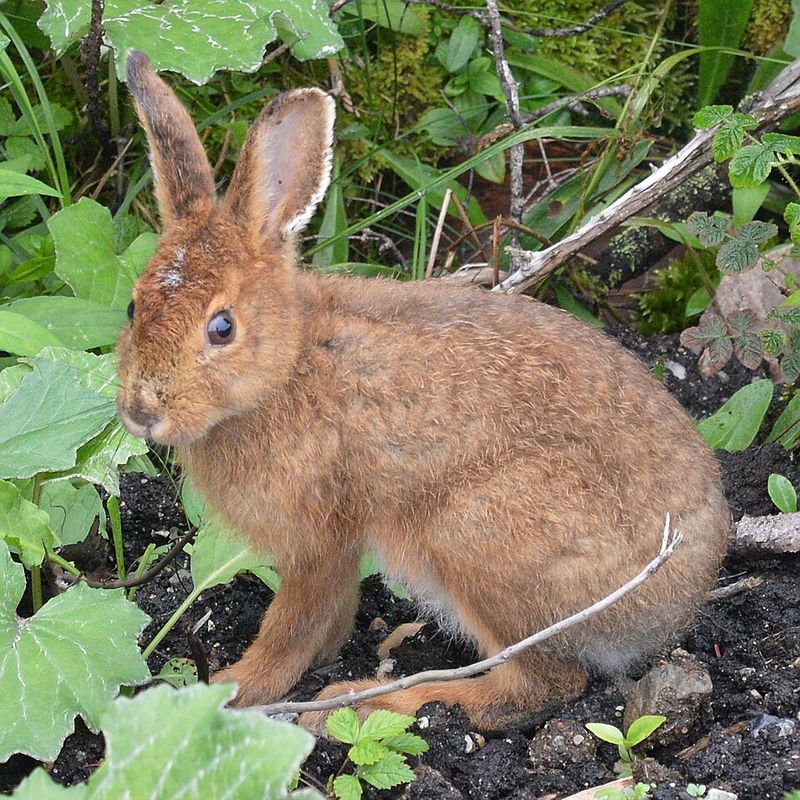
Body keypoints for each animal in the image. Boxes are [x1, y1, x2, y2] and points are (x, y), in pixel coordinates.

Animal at [117, 50, 731, 733]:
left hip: (479, 538)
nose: (140, 411)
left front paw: (238, 688)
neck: (289, 366)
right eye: (133, 307)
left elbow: (292, 626)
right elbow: (330, 618)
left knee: (535, 686)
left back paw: (367, 703)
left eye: (221, 328)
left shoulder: (317, 540)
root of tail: (680, 598)